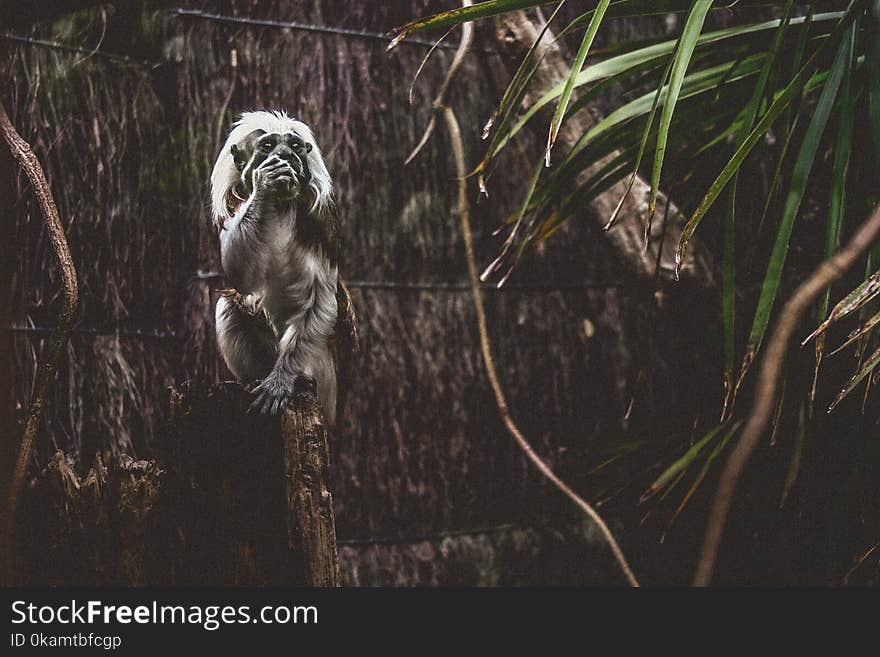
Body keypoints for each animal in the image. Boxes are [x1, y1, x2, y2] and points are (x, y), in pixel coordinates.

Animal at [208, 110, 356, 422]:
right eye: (268, 146)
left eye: (295, 146)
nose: (286, 155)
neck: (280, 206)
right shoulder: (235, 207)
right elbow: (241, 275)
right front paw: (266, 183)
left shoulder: (320, 225)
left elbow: (321, 299)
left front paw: (282, 379)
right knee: (229, 306)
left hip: (328, 386)